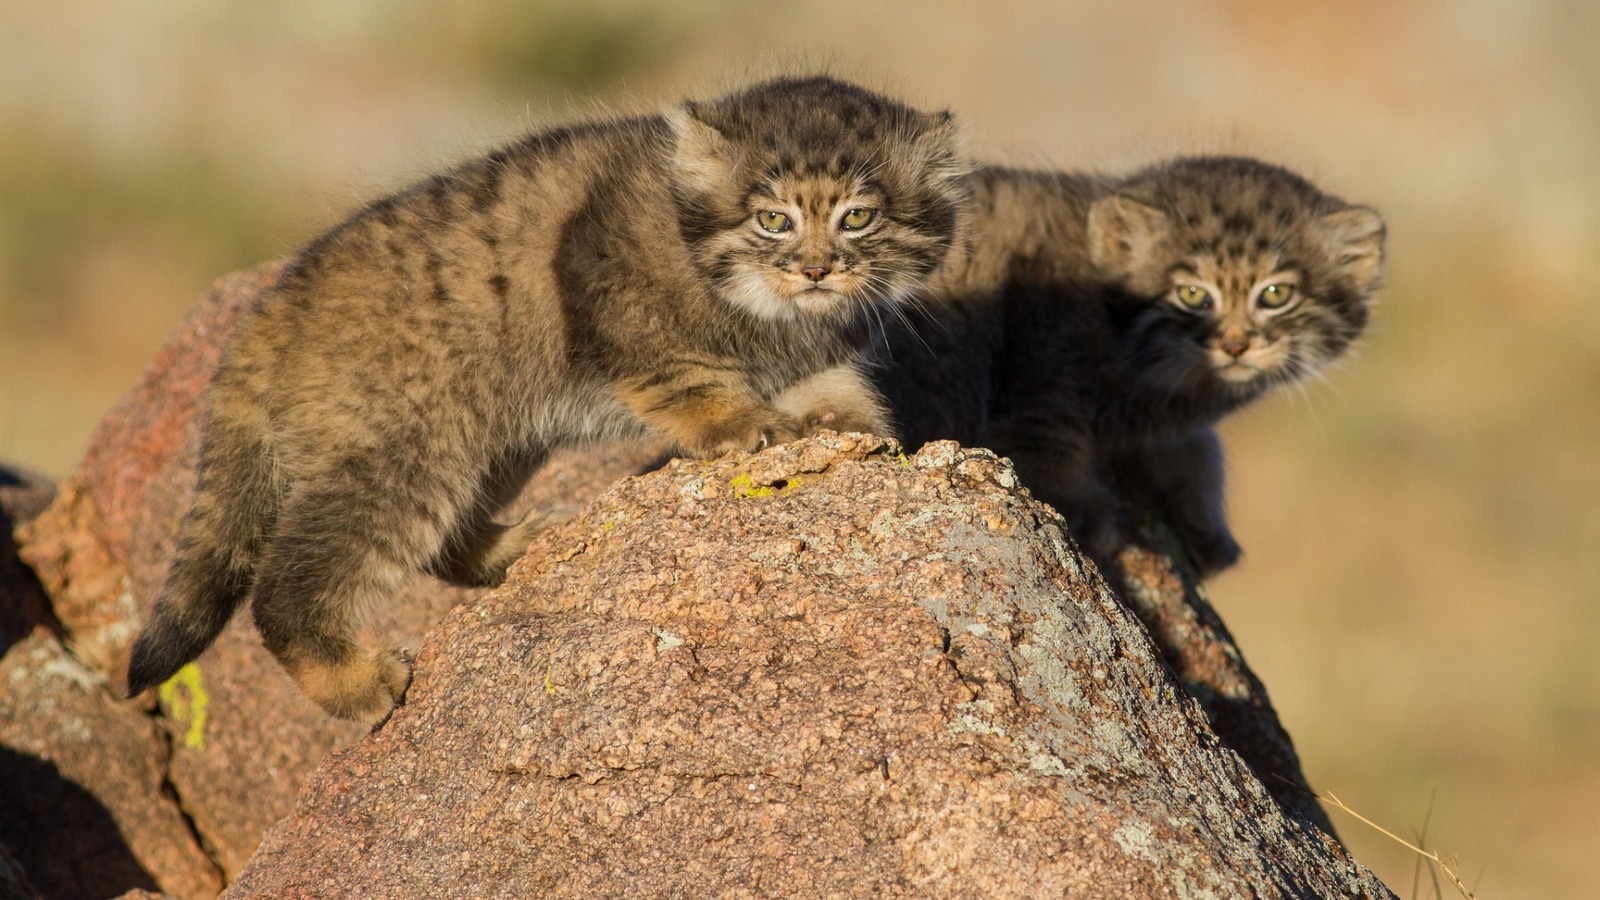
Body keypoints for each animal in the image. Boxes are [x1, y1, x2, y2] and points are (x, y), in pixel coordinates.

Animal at [124, 78, 966, 720]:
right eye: (773, 219)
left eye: (859, 217)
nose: (818, 270)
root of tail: (267, 314)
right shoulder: (616, 303)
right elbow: (690, 378)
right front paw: (741, 423)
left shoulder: (810, 348)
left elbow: (831, 383)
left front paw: (854, 427)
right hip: (404, 453)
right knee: (287, 586)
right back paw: (356, 683)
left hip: (488, 439)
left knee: (443, 545)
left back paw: (513, 549)